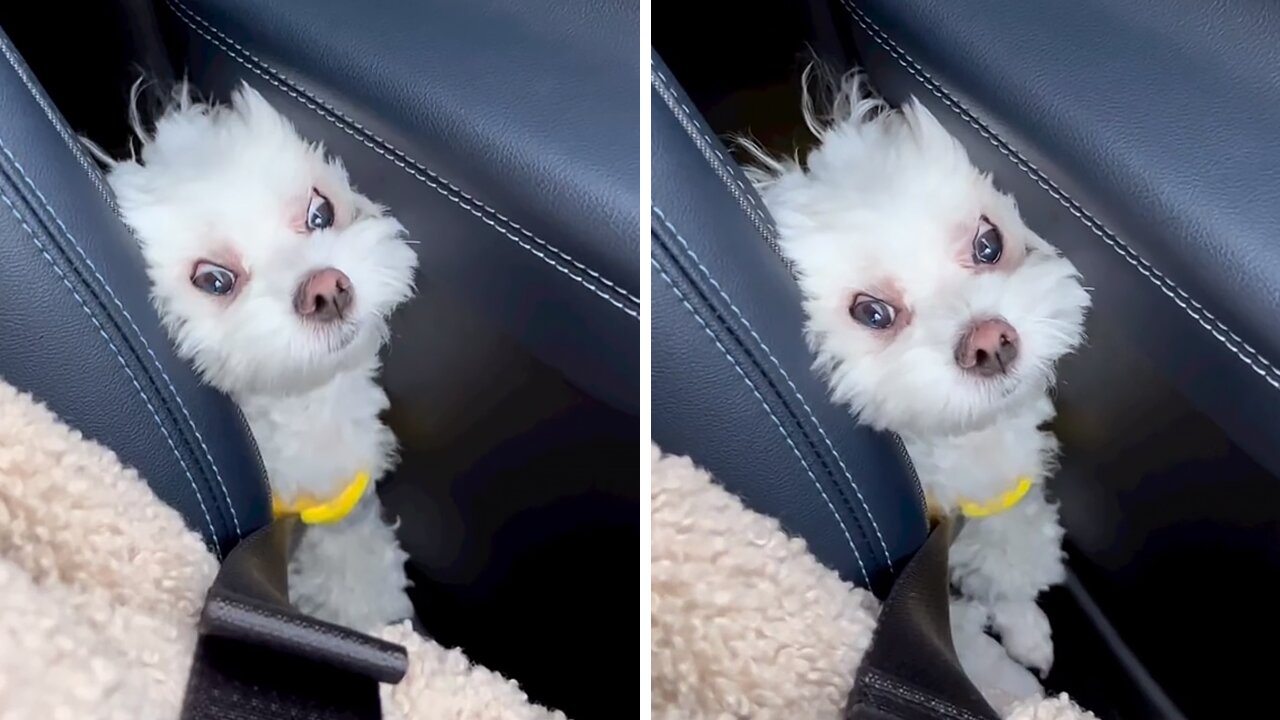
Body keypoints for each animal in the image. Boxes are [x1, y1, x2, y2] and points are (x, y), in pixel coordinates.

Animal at [98, 81, 424, 627]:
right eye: (214, 279)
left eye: (320, 213)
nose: (327, 290)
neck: (298, 404)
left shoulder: (340, 503)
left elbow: (355, 561)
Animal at [747, 71, 1095, 691]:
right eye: (872, 312)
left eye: (988, 243)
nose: (990, 343)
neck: (963, 442)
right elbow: (960, 645)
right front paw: (1016, 688)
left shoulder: (999, 494)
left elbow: (1011, 549)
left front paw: (1025, 625)